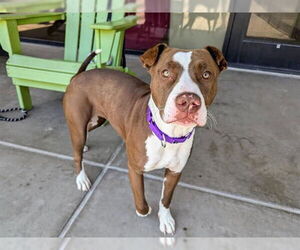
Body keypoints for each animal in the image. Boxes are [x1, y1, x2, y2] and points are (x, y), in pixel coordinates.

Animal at [63, 43, 227, 234]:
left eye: (206, 74)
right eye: (165, 73)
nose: (189, 101)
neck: (168, 135)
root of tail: (80, 75)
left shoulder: (175, 172)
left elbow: (166, 199)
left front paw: (165, 219)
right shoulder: (135, 168)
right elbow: (140, 196)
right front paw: (144, 211)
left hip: (98, 119)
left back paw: (84, 148)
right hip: (79, 124)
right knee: (76, 151)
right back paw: (81, 178)